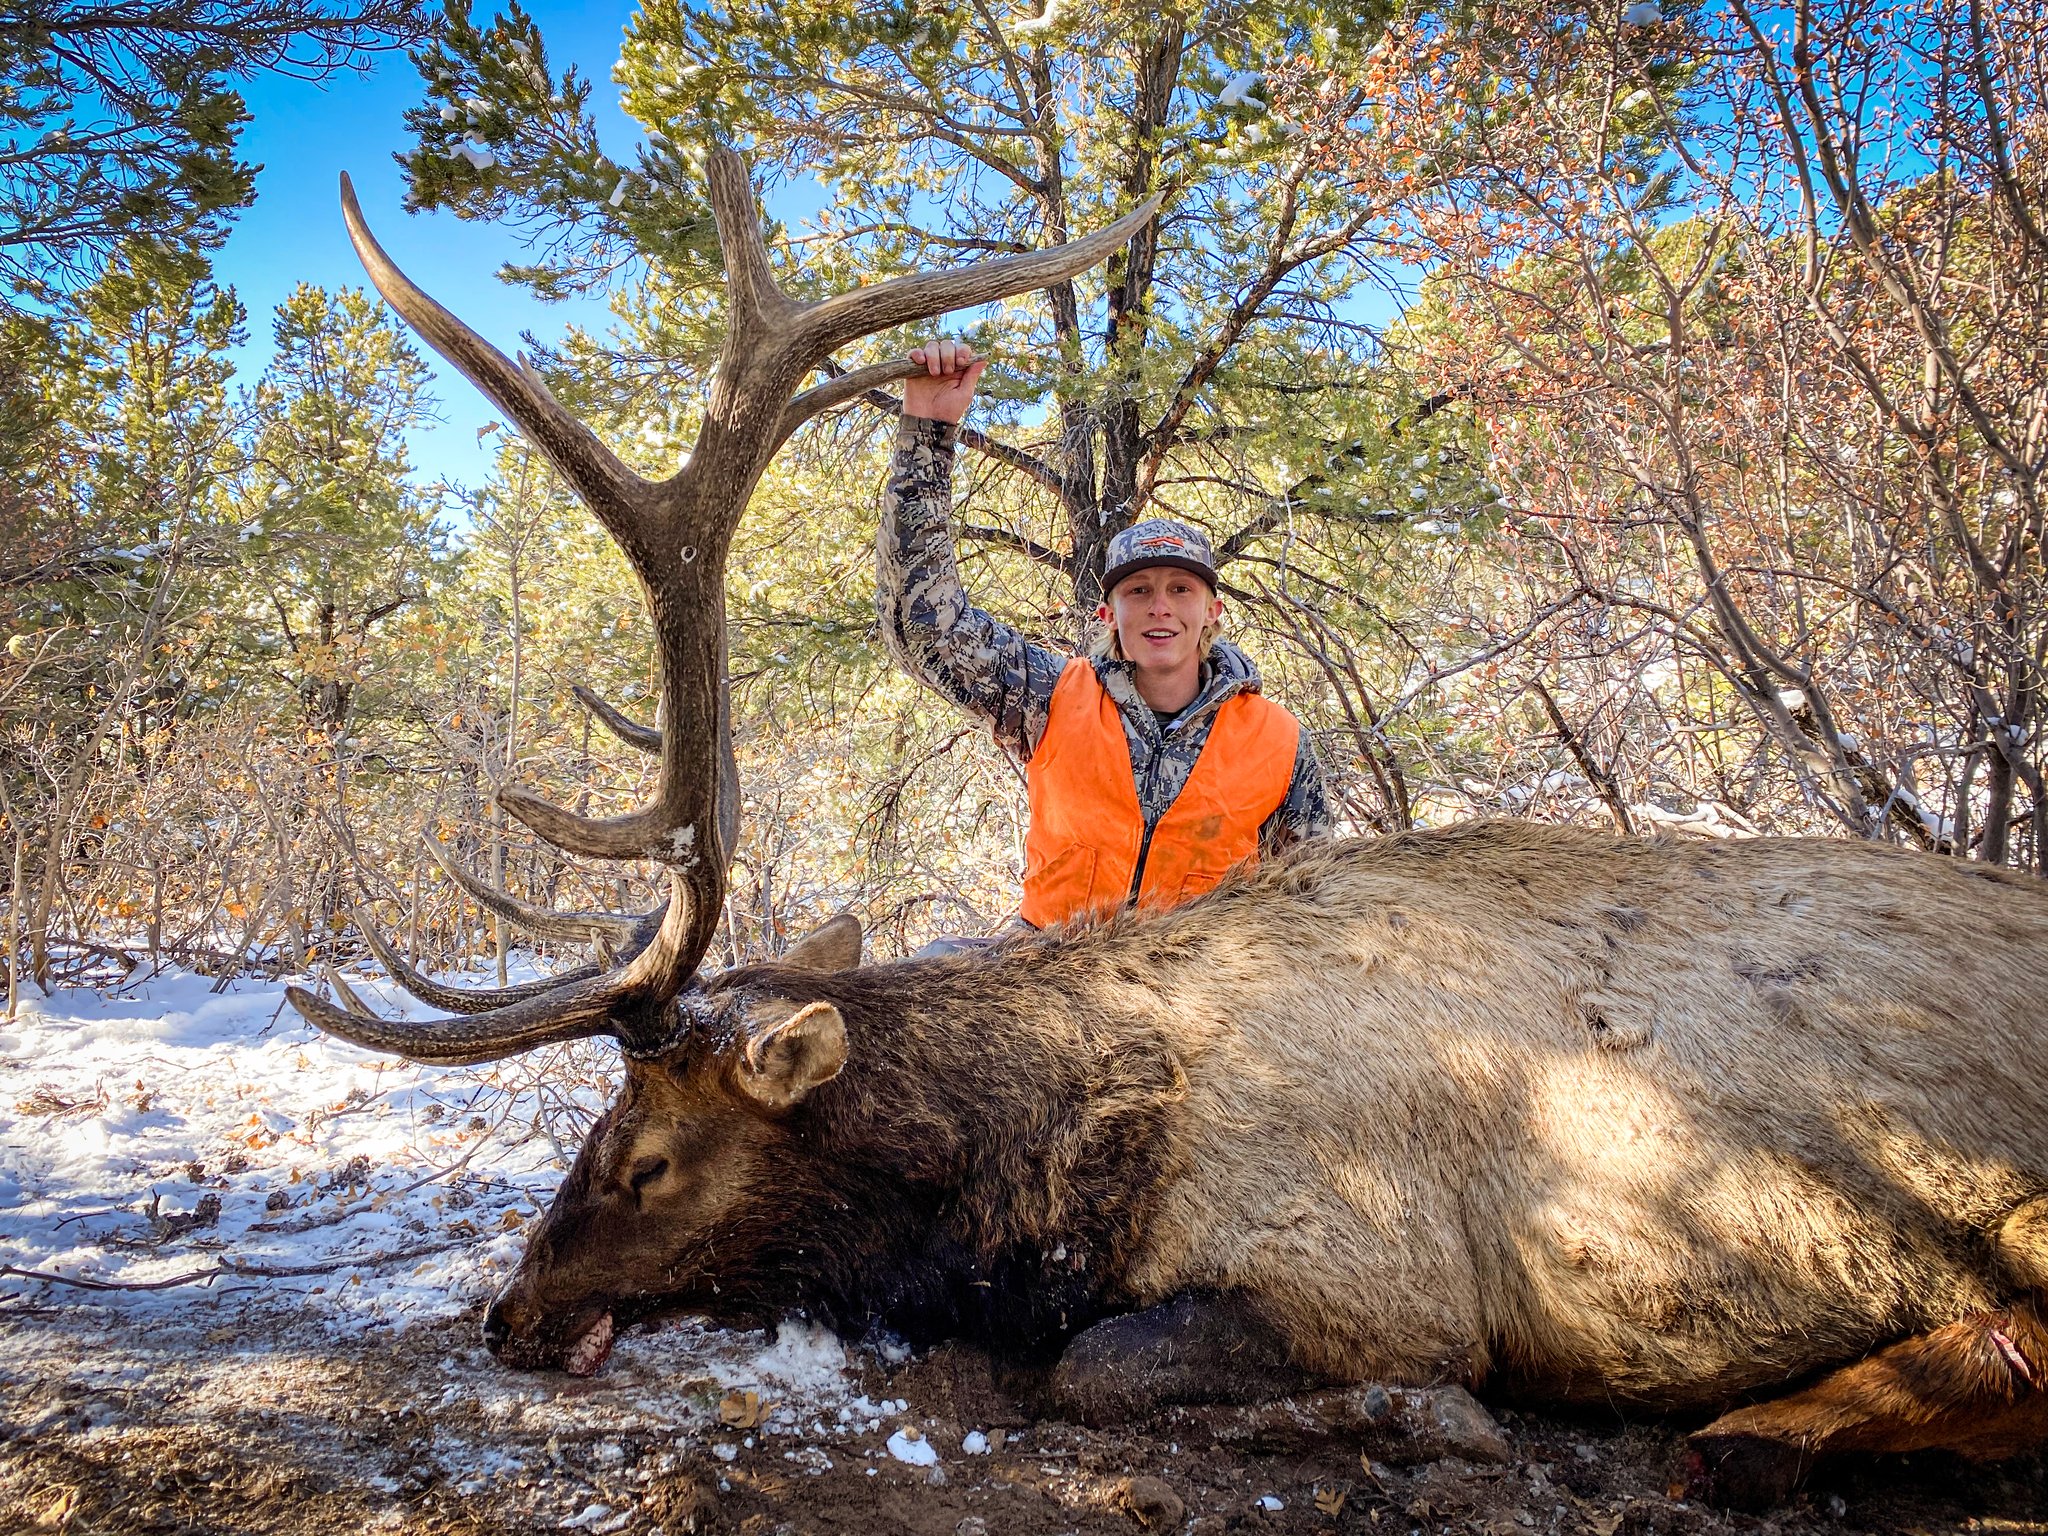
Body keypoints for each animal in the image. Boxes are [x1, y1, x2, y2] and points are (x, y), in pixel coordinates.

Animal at [287, 150, 2048, 1511]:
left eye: (648, 1157)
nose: (509, 1314)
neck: (1052, 1172)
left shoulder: (1375, 1278)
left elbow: (1098, 1368)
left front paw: (1430, 1418)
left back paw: (1760, 1431)